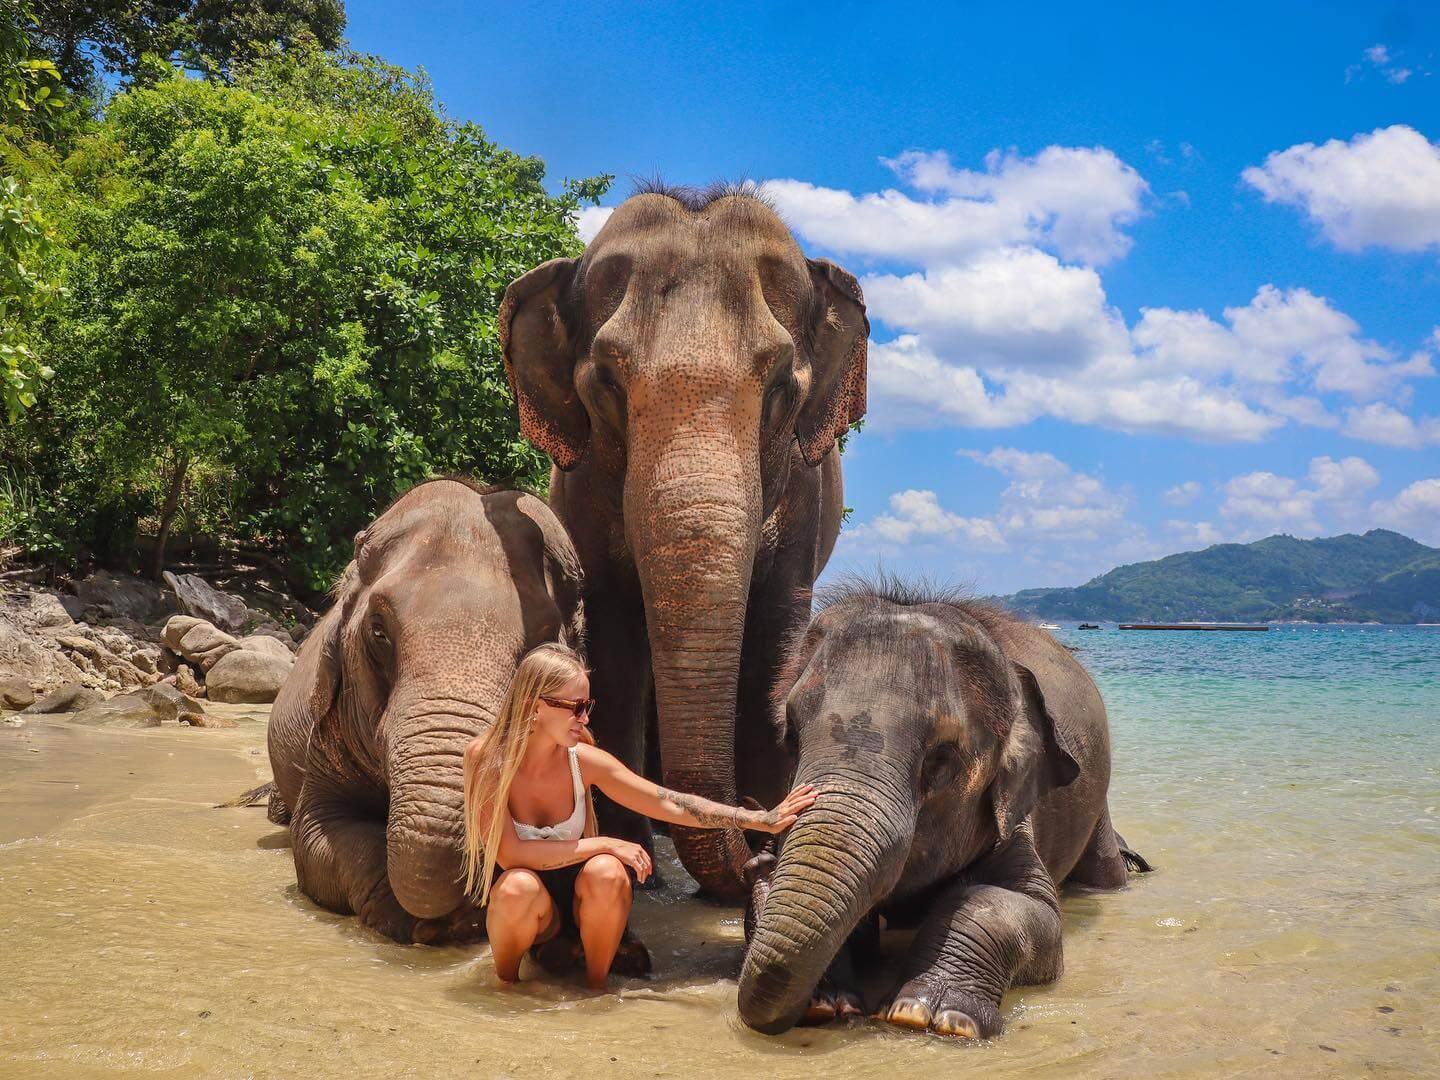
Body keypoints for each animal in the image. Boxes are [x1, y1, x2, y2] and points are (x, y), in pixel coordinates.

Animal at [500, 183, 868, 899]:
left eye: (780, 386)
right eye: (606, 383)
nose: (756, 846)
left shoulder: (804, 496)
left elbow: (773, 642)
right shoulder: (583, 488)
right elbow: (614, 642)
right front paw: (638, 866)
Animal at [737, 577, 1151, 1038]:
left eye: (940, 759)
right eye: (791, 735)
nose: (760, 860)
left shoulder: (1014, 816)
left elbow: (1028, 910)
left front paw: (933, 1017)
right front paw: (826, 1004)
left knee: (1105, 873)